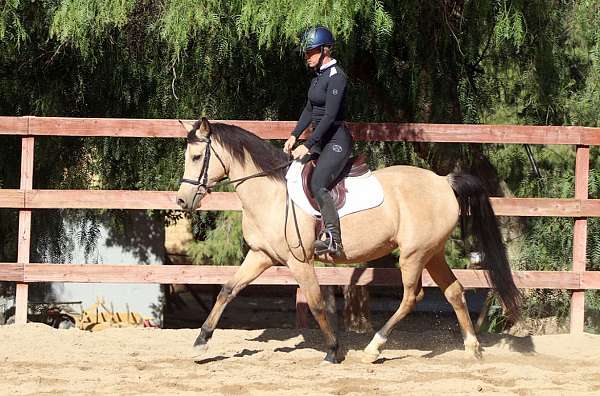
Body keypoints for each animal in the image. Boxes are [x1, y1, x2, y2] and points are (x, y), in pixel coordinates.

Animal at [175, 118, 520, 366]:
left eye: (196, 156)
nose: (181, 200)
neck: (270, 193)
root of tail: (443, 181)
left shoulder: (299, 261)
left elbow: (316, 303)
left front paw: (332, 350)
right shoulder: (261, 255)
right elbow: (227, 290)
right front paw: (200, 342)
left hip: (413, 255)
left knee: (412, 297)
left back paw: (373, 348)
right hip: (433, 253)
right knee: (454, 292)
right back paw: (472, 349)